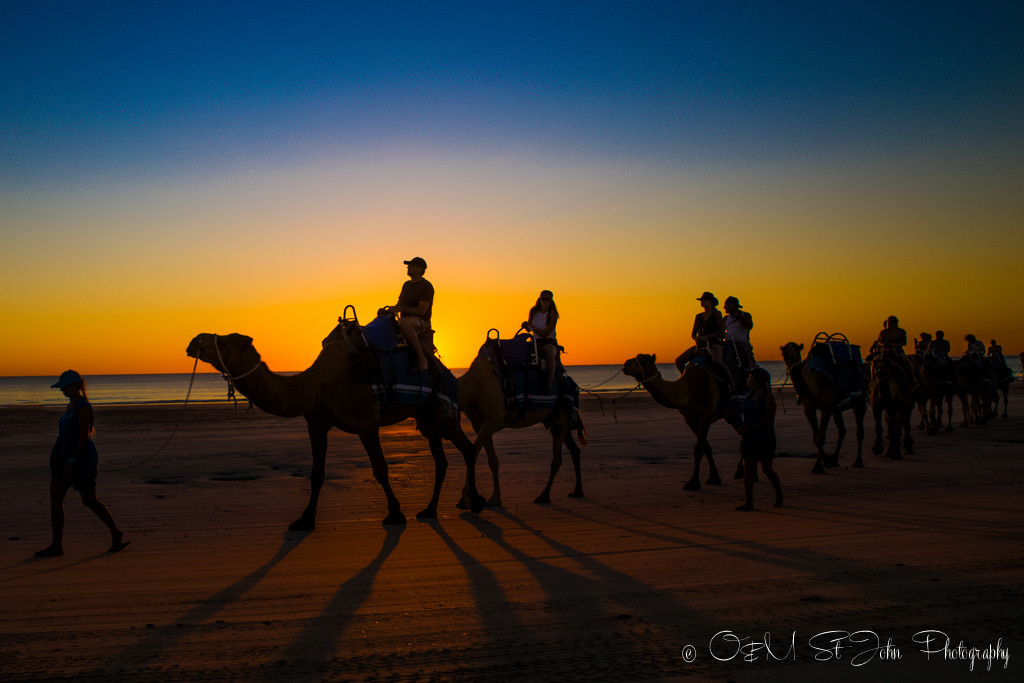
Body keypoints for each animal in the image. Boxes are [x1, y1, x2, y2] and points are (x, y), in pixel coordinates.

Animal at [185, 331, 487, 528]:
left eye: (224, 340)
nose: (193, 341)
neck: (316, 384)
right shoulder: (316, 424)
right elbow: (316, 473)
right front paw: (305, 518)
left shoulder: (367, 423)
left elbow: (380, 468)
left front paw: (395, 513)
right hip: (425, 417)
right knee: (441, 460)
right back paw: (430, 510)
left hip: (441, 413)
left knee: (467, 449)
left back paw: (475, 502)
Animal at [456, 335, 585, 507]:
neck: (473, 386)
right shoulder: (479, 423)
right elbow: (492, 460)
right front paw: (495, 499)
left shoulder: (492, 421)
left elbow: (473, 453)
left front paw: (464, 500)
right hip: (557, 421)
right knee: (574, 450)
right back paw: (577, 491)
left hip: (560, 418)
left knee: (557, 460)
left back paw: (543, 496)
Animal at [618, 352, 733, 491]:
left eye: (643, 362)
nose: (626, 364)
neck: (688, 390)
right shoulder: (690, 419)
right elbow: (706, 447)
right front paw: (714, 477)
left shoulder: (705, 416)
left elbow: (698, 449)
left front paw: (693, 482)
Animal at [782, 339, 864, 473]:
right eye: (784, 353)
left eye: (797, 351)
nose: (791, 366)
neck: (814, 388)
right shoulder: (809, 409)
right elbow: (815, 438)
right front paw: (825, 461)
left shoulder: (826, 408)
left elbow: (820, 438)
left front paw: (818, 466)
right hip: (837, 409)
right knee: (842, 429)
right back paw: (834, 461)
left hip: (859, 399)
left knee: (859, 431)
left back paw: (858, 461)